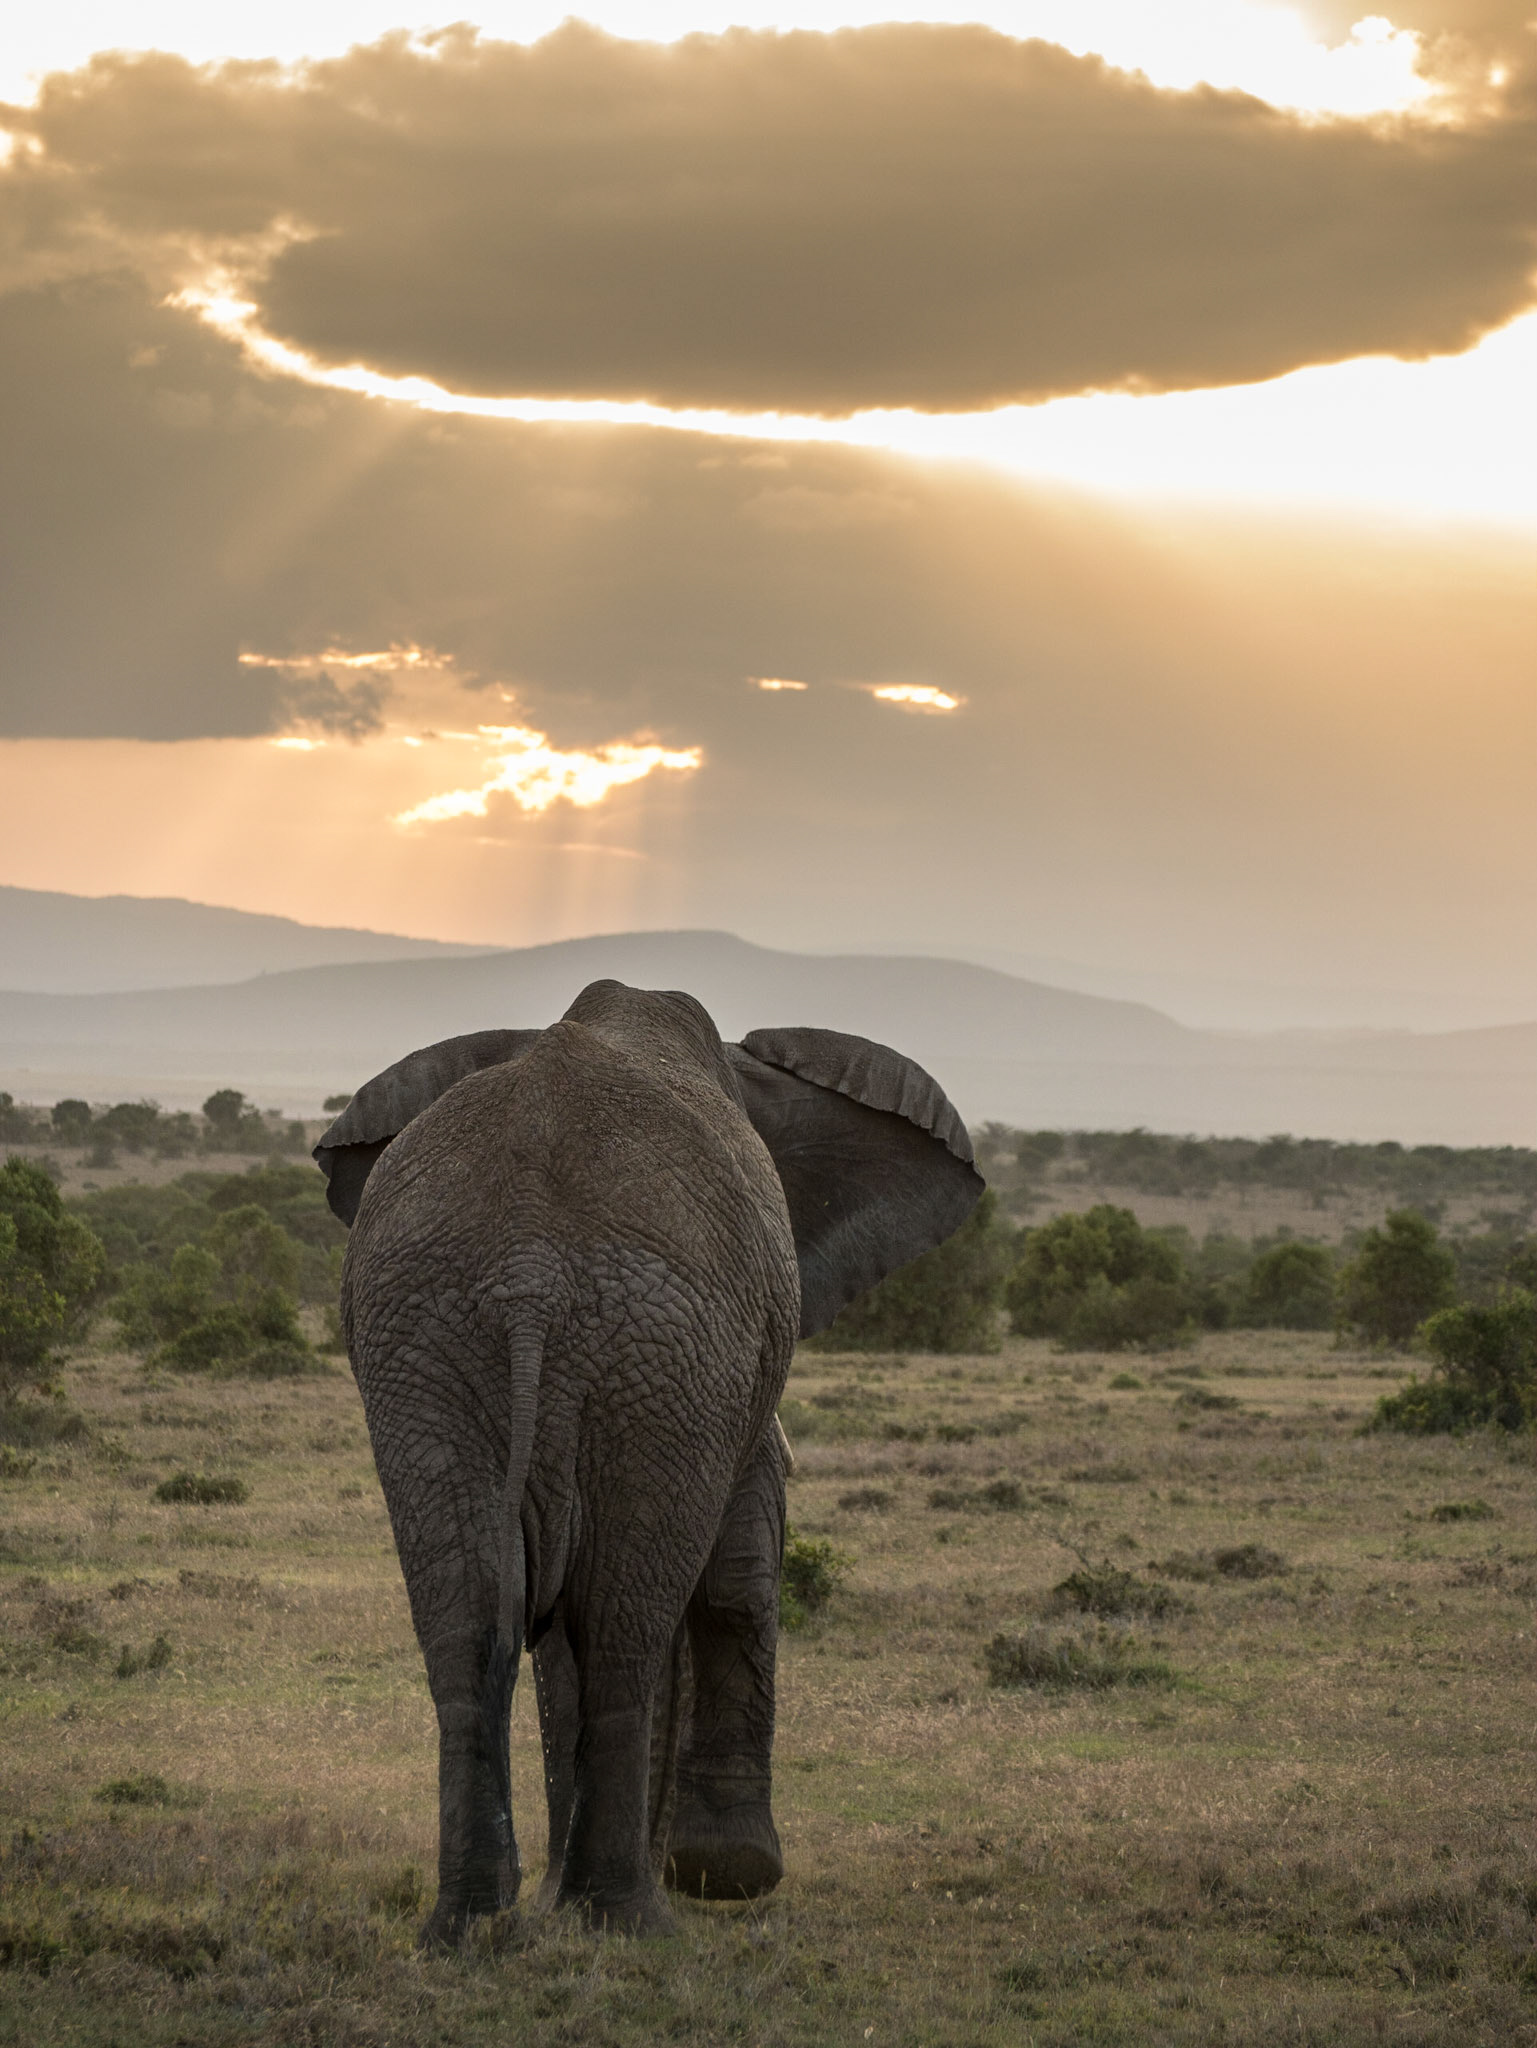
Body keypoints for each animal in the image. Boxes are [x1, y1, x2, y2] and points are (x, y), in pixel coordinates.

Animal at [315, 978, 981, 1942]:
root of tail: (528, 1269)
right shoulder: (728, 1374)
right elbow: (739, 1567)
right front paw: (727, 1875)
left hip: (436, 1342)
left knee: (474, 1618)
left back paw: (472, 1925)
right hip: (653, 1349)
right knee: (618, 1628)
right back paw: (628, 1920)